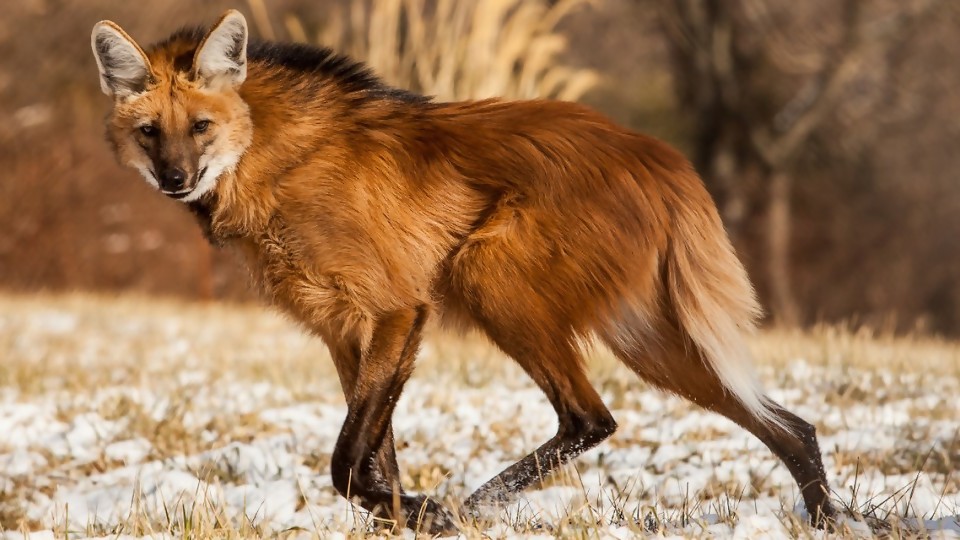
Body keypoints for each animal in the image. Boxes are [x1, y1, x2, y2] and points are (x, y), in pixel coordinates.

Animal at [94, 9, 836, 536]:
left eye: (200, 126)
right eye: (150, 132)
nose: (176, 180)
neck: (271, 158)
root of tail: (661, 156)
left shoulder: (398, 308)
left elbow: (348, 463)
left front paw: (429, 513)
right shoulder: (344, 329)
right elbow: (375, 457)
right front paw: (404, 515)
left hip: (491, 278)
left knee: (590, 418)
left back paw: (474, 506)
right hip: (648, 339)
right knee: (790, 426)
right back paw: (832, 521)